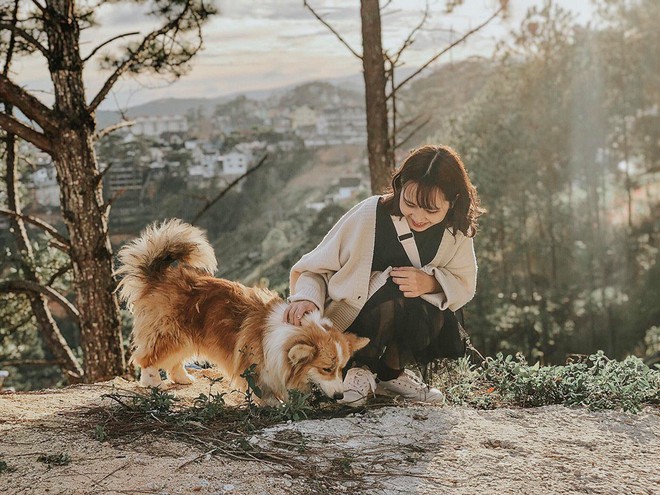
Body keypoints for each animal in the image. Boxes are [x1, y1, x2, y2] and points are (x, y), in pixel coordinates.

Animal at [115, 222, 368, 406]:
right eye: (326, 369)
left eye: (341, 369)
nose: (340, 396)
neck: (283, 336)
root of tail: (158, 276)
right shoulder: (253, 368)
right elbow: (263, 391)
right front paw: (274, 405)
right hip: (170, 333)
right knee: (147, 358)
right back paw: (153, 382)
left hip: (187, 335)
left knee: (174, 360)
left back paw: (183, 378)